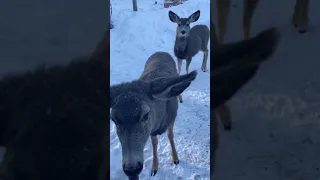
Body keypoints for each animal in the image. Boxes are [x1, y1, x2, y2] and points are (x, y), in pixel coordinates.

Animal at [109, 51, 198, 179]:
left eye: (146, 115)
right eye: (113, 119)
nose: (132, 170)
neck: (160, 121)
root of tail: (161, 52)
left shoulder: (172, 118)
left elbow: (170, 135)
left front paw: (175, 158)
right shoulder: (152, 129)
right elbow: (154, 143)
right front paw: (154, 167)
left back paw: (180, 97)